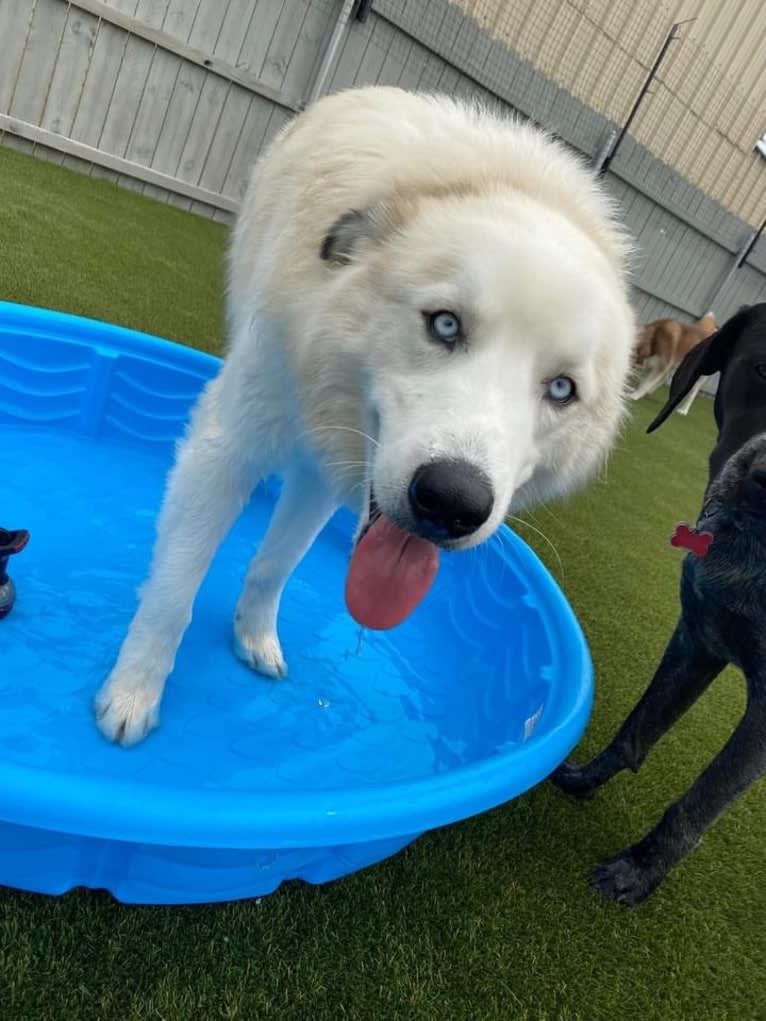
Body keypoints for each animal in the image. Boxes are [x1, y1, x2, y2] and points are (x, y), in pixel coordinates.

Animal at [94, 85, 637, 743]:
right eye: (445, 324)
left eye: (561, 389)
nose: (452, 503)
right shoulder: (227, 449)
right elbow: (175, 589)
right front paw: (132, 694)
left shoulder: (323, 476)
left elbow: (275, 565)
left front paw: (254, 636)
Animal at [555, 300, 766, 902]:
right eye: (761, 369)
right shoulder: (697, 639)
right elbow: (635, 730)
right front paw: (582, 779)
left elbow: (699, 803)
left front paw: (638, 870)